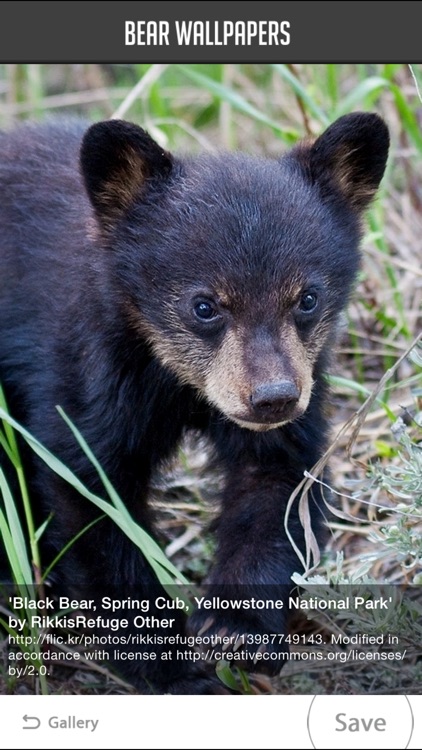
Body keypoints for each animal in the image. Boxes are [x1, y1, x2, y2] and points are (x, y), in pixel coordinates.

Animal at [0, 113, 389, 694]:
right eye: (204, 305)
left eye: (307, 298)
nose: (273, 398)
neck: (174, 379)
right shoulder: (85, 368)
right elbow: (89, 493)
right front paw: (173, 668)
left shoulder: (299, 387)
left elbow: (276, 483)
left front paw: (238, 630)